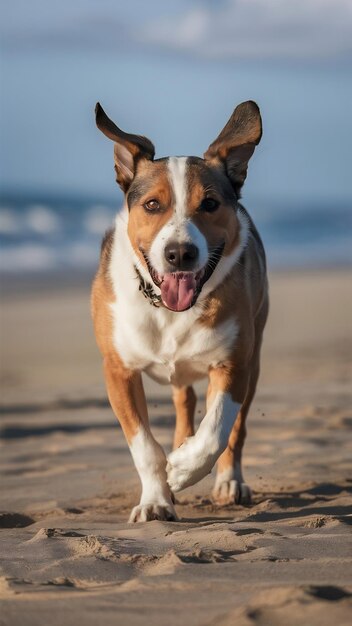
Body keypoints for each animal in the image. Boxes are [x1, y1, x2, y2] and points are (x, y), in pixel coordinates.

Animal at [91, 101, 270, 520]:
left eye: (210, 204)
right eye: (152, 205)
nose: (179, 254)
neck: (170, 309)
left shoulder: (234, 365)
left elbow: (217, 430)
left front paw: (183, 469)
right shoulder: (117, 370)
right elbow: (143, 445)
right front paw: (156, 499)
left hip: (254, 358)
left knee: (235, 431)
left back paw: (228, 481)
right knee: (183, 401)